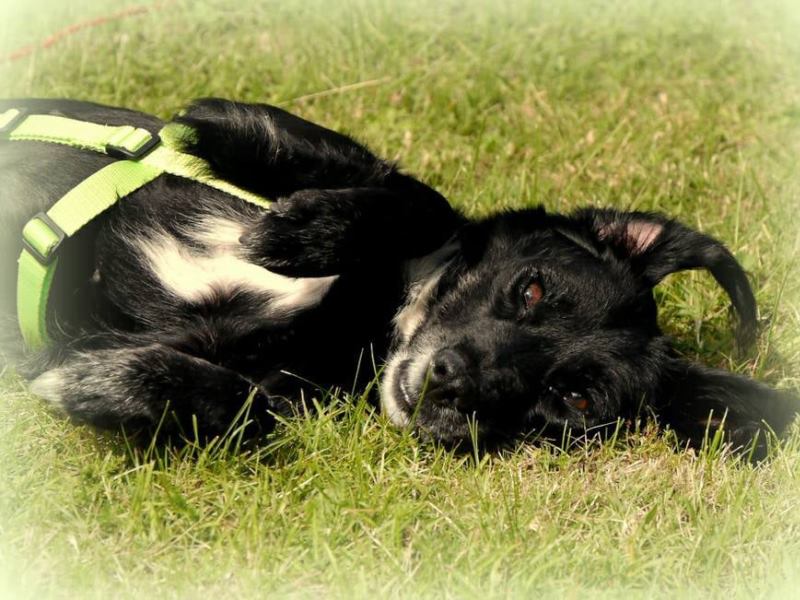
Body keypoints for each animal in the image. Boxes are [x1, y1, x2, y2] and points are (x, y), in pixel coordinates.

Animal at [1, 98, 796, 456]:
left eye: (570, 399)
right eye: (531, 287)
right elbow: (418, 197)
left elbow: (248, 406)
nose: (453, 381)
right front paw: (302, 230)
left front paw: (98, 383)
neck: (377, 309)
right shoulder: (217, 123)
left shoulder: (286, 386)